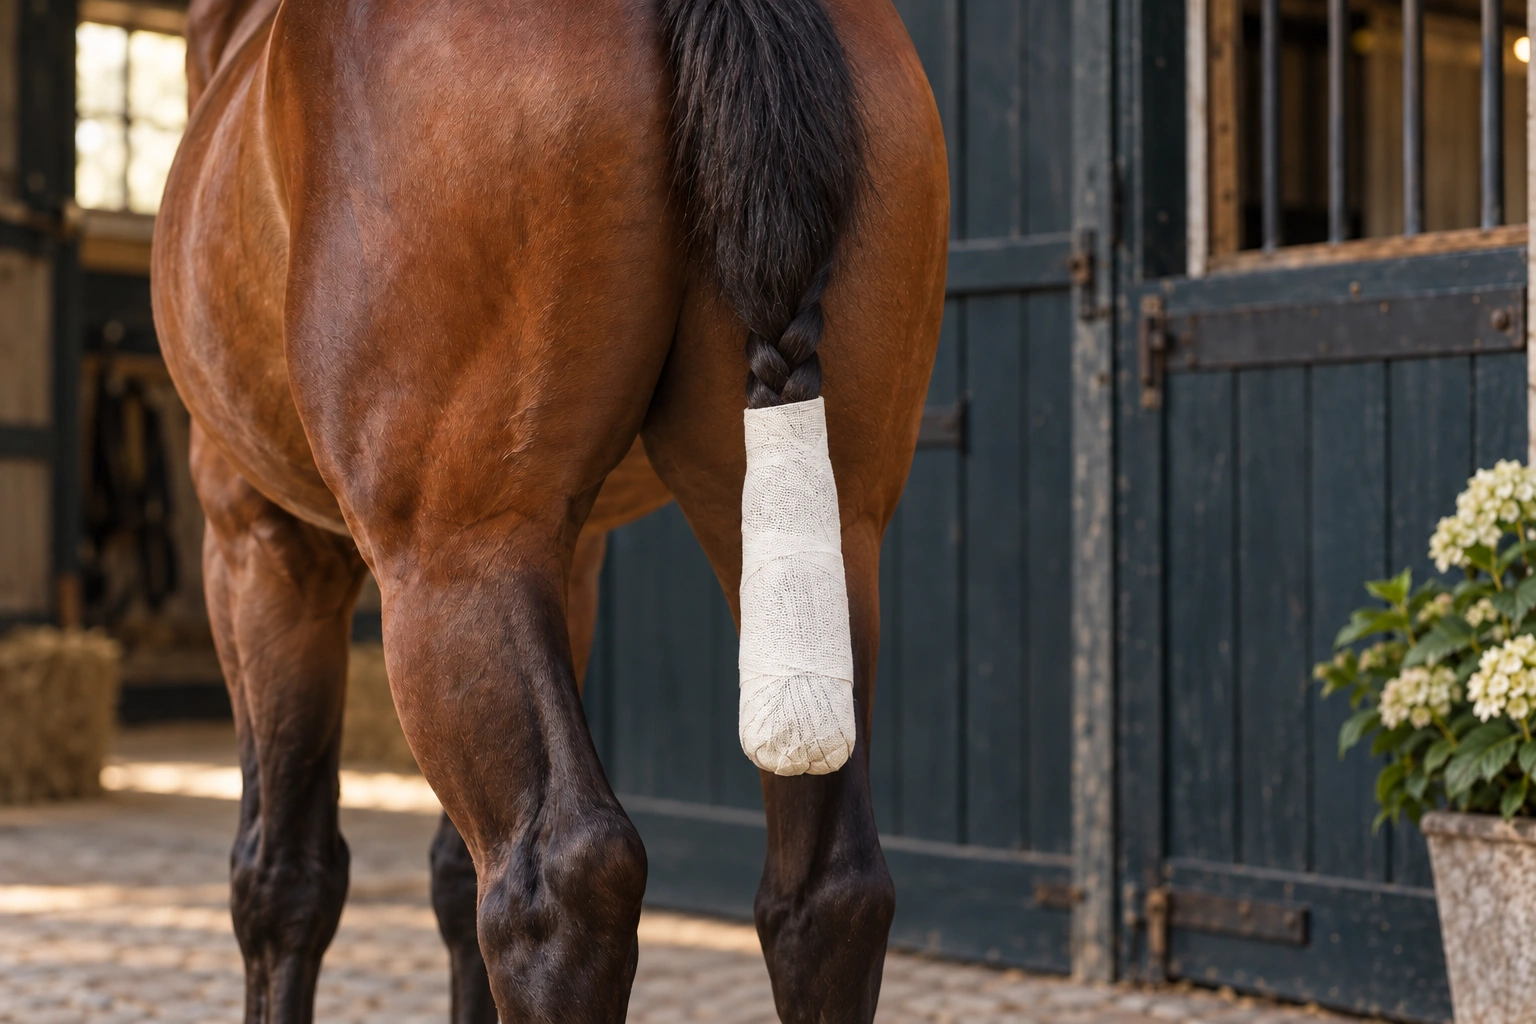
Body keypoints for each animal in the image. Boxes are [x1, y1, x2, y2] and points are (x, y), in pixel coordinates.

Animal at [152, 0, 947, 1020]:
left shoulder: (261, 549)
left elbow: (282, 877)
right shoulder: (574, 566)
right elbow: (449, 874)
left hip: (451, 563)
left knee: (554, 882)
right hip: (824, 536)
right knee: (829, 892)